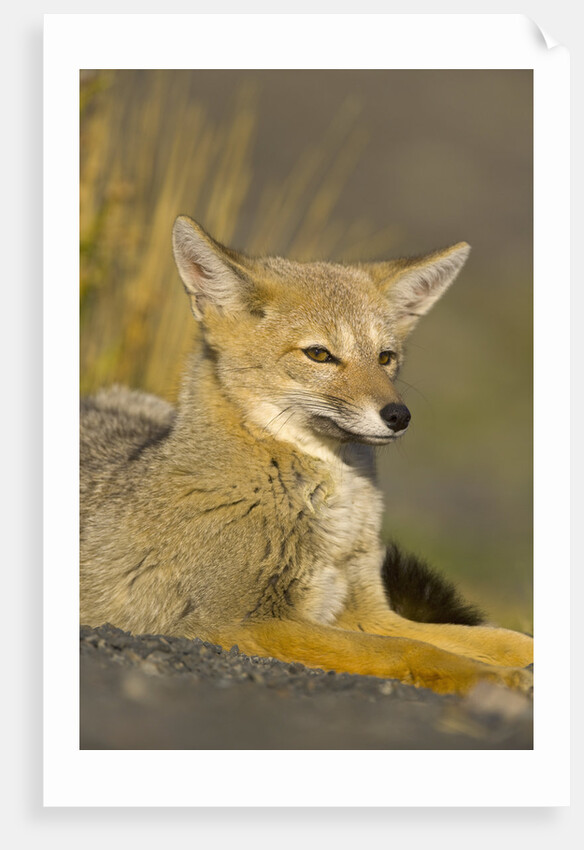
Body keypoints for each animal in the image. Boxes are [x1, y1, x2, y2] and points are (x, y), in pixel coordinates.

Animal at [80, 215, 533, 695]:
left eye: (385, 358)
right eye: (319, 354)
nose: (399, 415)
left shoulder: (366, 609)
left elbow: (501, 638)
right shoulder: (241, 624)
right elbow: (408, 651)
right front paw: (497, 679)